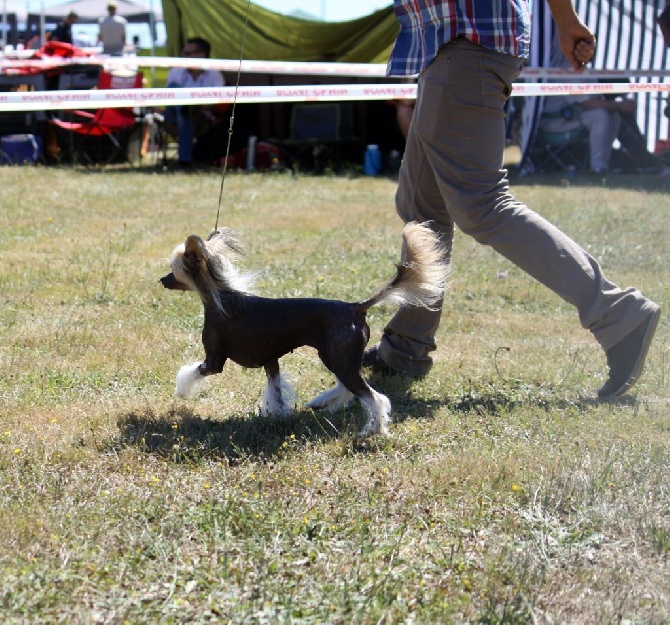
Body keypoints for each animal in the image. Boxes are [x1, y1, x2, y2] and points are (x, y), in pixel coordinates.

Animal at [160, 222, 448, 436]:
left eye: (174, 269)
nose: (162, 280)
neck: (220, 297)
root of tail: (356, 307)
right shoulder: (271, 361)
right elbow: (275, 391)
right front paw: (277, 416)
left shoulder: (214, 360)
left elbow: (189, 373)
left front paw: (181, 393)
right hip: (335, 356)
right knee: (349, 387)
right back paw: (322, 402)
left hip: (339, 356)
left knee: (371, 396)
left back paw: (373, 430)